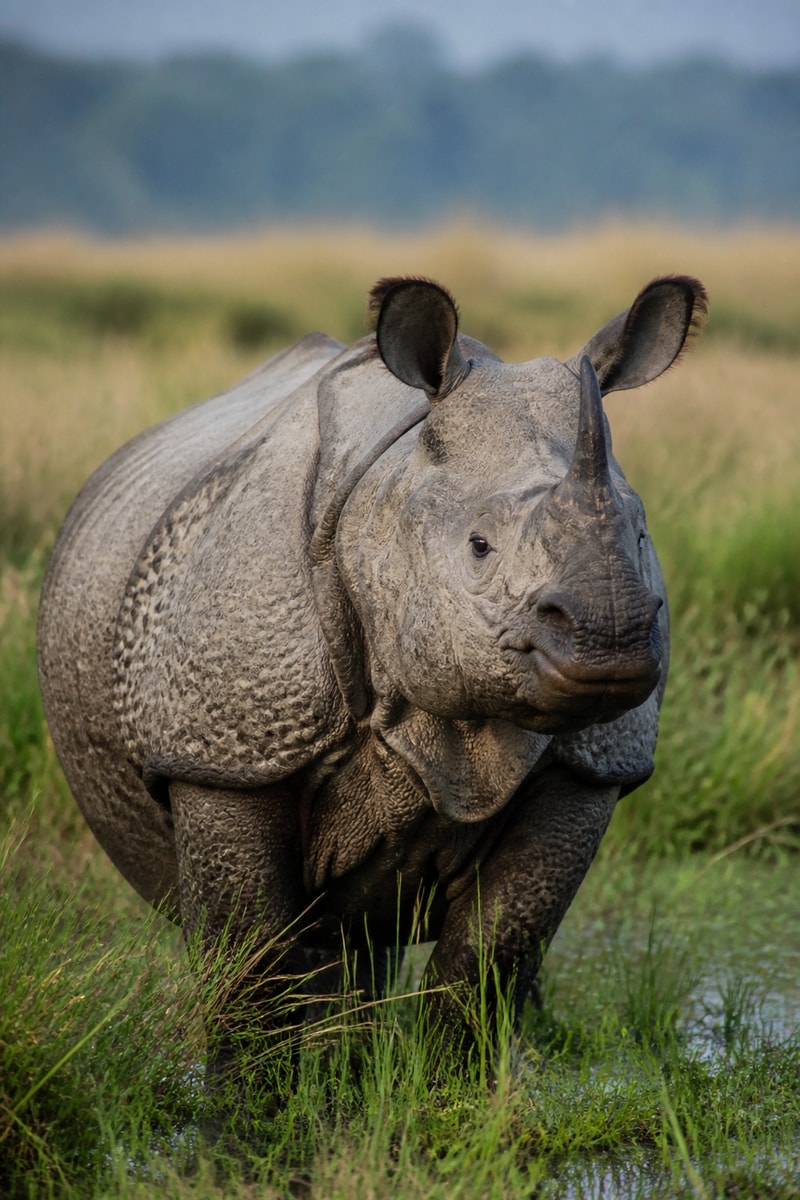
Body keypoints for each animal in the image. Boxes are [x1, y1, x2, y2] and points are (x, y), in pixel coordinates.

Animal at [38, 273, 707, 1087]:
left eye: (640, 538)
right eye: (478, 547)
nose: (608, 639)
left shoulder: (592, 766)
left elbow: (493, 953)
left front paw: (452, 1092)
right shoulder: (227, 752)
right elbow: (249, 959)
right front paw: (251, 1103)